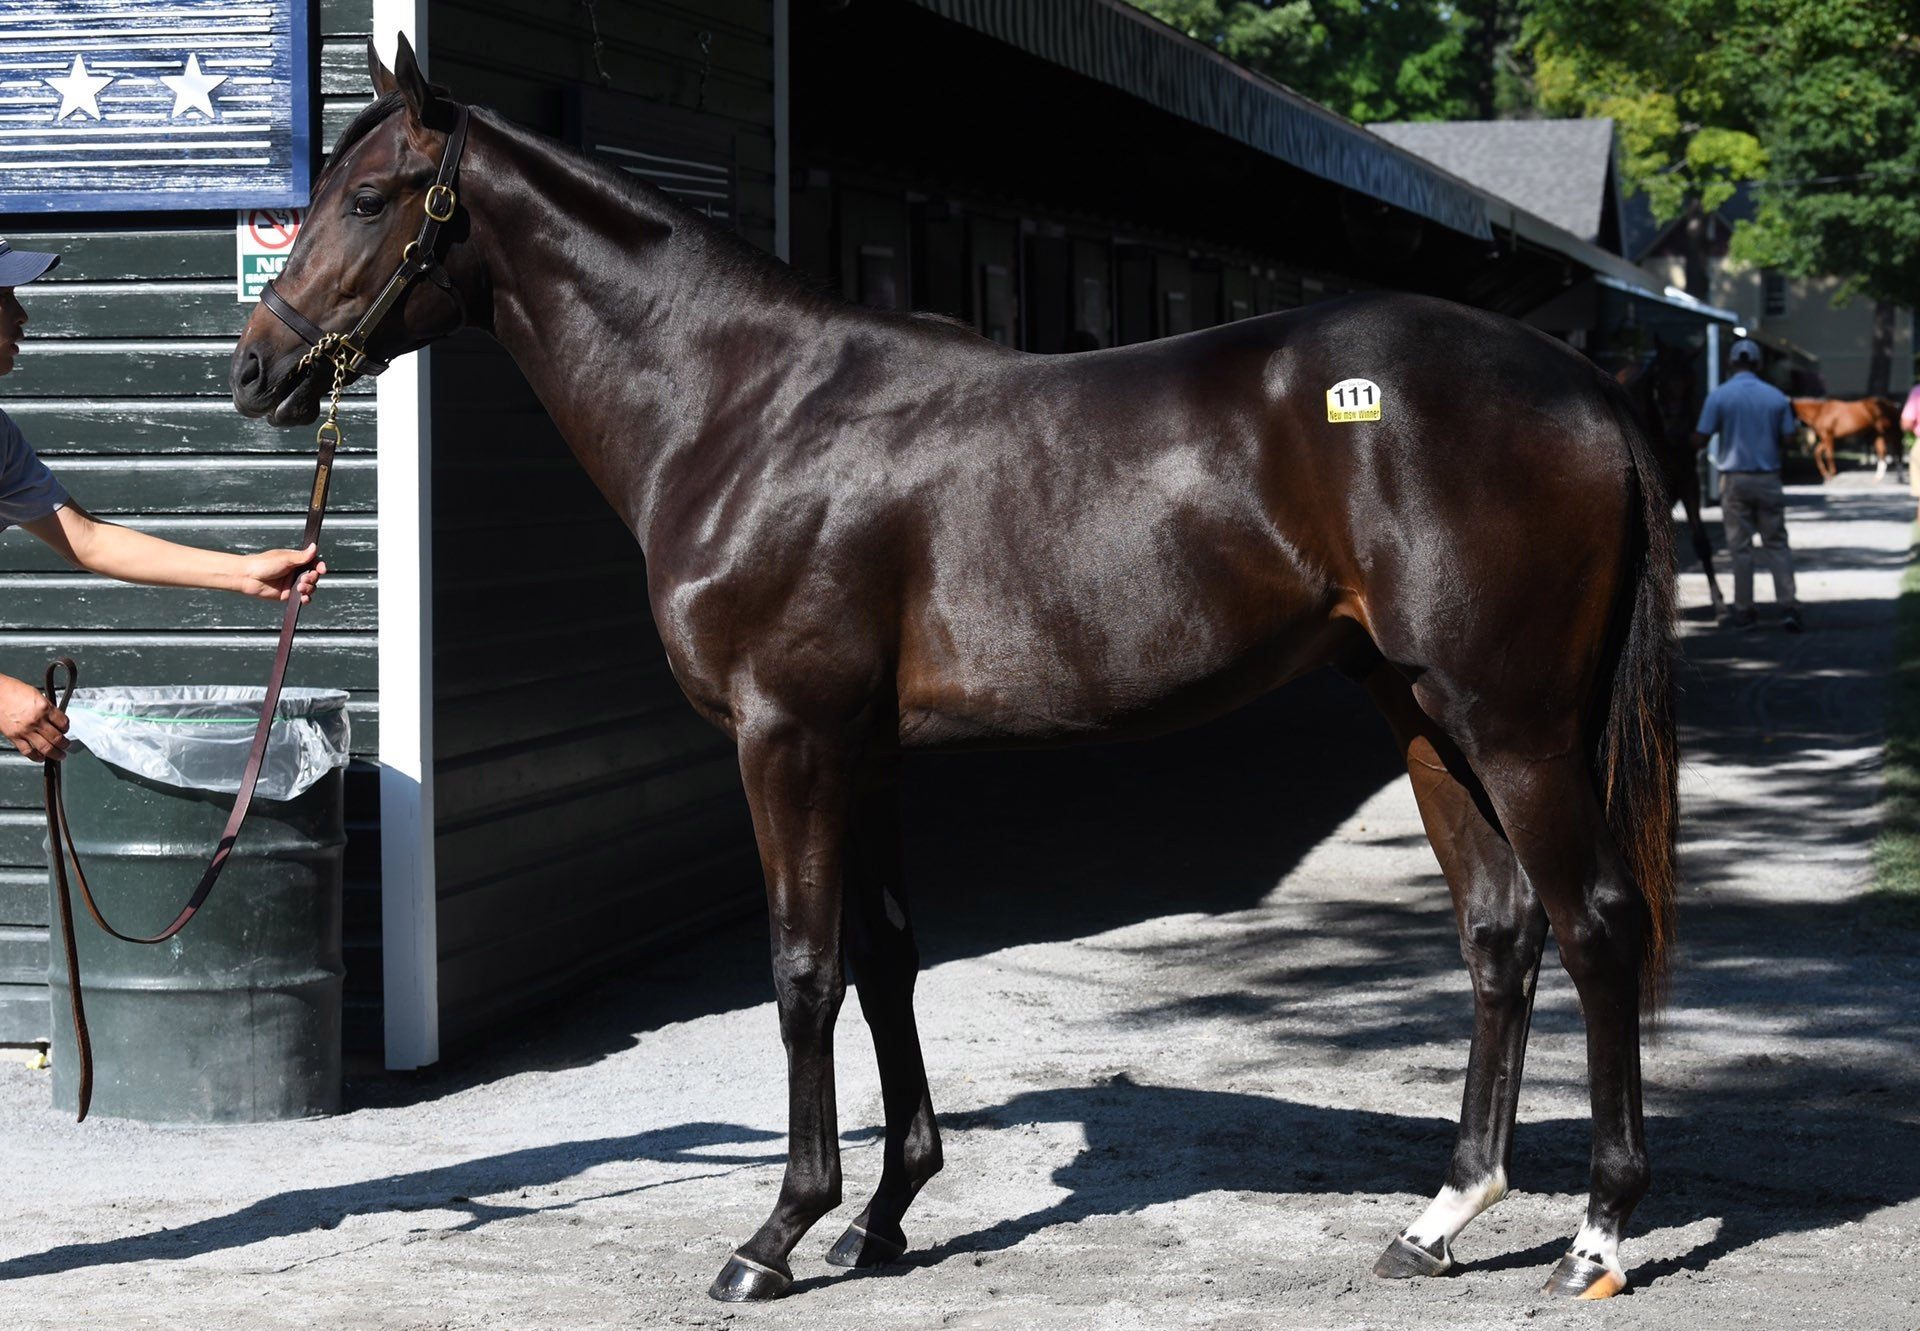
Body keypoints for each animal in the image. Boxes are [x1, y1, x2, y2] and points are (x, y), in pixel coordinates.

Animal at [1612, 339, 1735, 614]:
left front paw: (1719, 601)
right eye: (1659, 383)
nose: (1678, 433)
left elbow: (1701, 541)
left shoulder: (1690, 482)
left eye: (1691, 384)